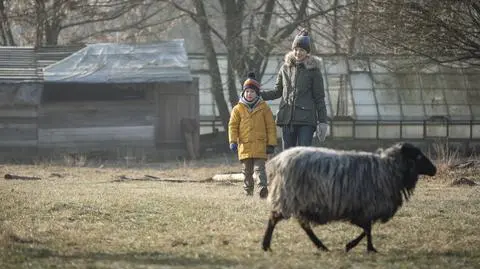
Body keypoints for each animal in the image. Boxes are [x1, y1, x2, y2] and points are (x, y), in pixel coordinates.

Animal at [260, 141, 436, 252]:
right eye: (418, 156)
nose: (434, 170)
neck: (388, 170)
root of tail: (278, 160)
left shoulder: (362, 209)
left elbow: (367, 228)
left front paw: (360, 246)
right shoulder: (366, 207)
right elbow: (367, 229)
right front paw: (363, 247)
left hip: (300, 201)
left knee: (303, 225)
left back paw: (320, 246)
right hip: (290, 196)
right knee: (275, 219)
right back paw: (266, 245)